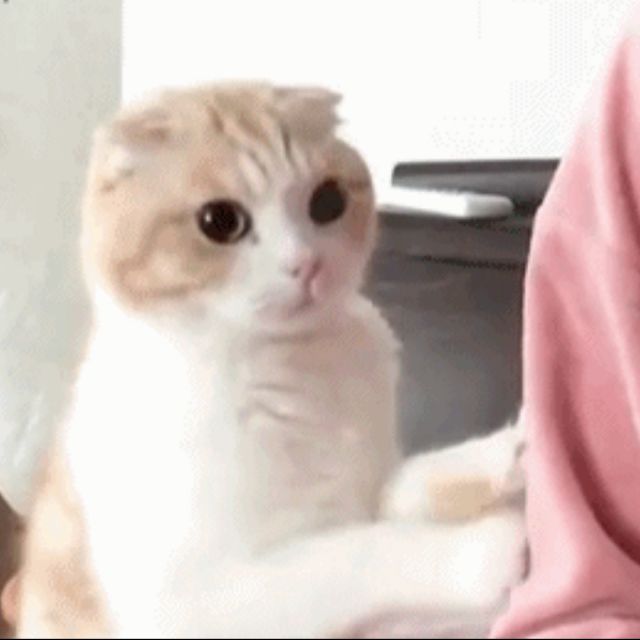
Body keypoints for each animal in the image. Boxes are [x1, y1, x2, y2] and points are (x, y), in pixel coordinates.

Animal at [17, 83, 525, 638]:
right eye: (220, 222)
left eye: (328, 201)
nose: (307, 263)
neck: (299, 364)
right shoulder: (204, 602)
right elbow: (352, 551)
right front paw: (482, 553)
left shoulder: (372, 484)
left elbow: (405, 488)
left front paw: (508, 453)